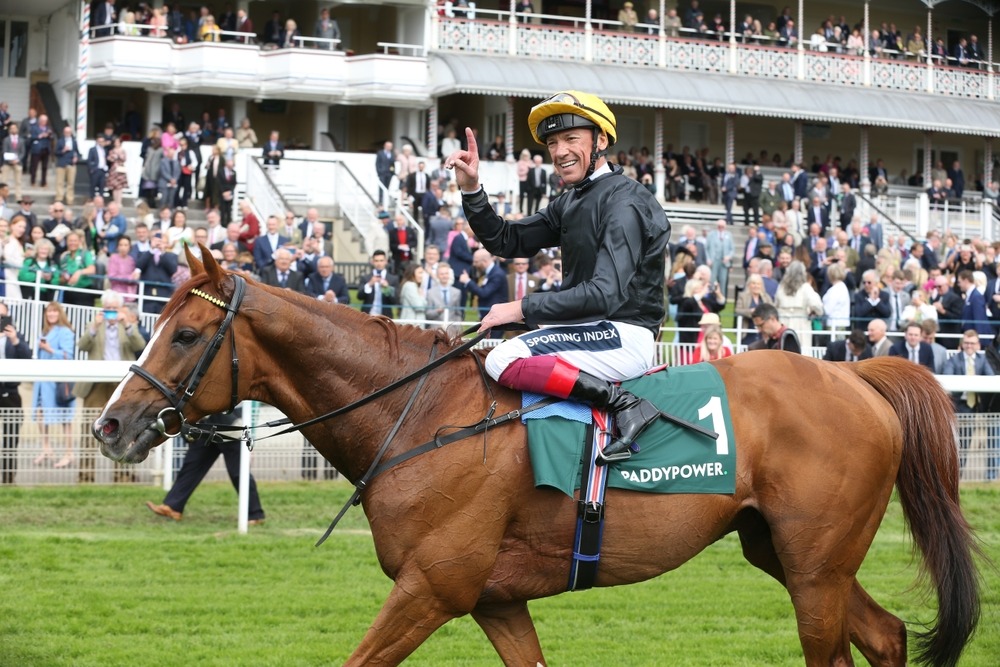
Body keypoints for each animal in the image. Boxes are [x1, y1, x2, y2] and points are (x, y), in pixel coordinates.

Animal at [97, 252, 980, 667]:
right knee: (887, 635)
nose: (112, 423)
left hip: (814, 566)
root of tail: (857, 374)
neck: (419, 413)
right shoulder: (494, 599)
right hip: (791, 554)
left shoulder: (432, 587)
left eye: (184, 332)